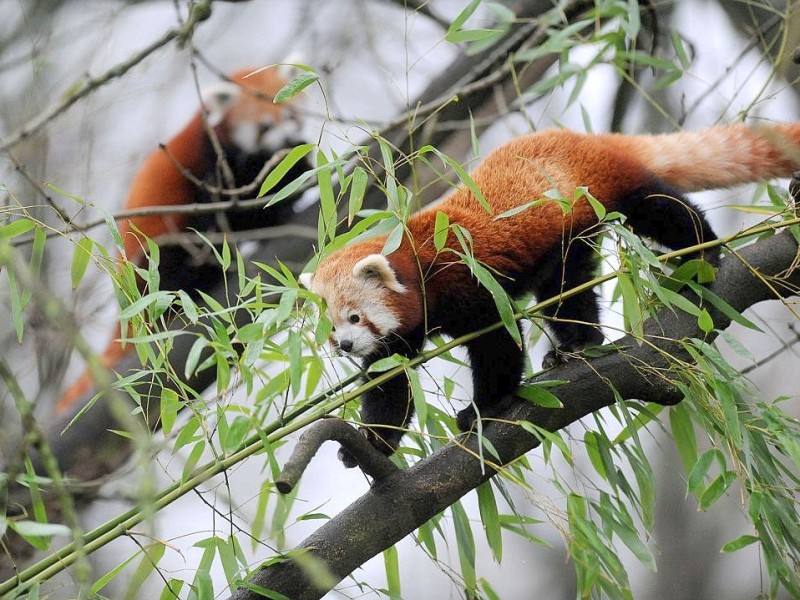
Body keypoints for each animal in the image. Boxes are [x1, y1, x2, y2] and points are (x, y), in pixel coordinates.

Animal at [55, 64, 310, 412]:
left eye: (292, 114)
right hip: (154, 256)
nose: (286, 137)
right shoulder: (212, 168)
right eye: (264, 125)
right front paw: (280, 206)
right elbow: (232, 211)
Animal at [298, 123, 800, 468]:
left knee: (660, 210)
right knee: (566, 287)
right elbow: (391, 383)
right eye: (332, 326)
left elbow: (497, 344)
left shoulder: (471, 281)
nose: (344, 345)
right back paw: (576, 344)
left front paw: (485, 409)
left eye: (355, 317)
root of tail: (586, 138)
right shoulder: (404, 332)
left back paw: (702, 253)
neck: (420, 262)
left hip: (603, 193)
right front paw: (371, 443)